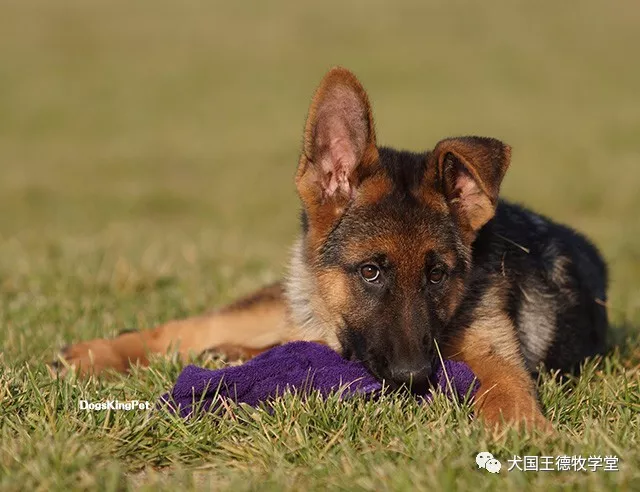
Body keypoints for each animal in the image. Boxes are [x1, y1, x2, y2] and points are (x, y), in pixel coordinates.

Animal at [52, 67, 608, 428]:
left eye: (438, 275)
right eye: (370, 271)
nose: (412, 377)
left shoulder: (495, 352)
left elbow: (508, 391)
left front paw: (524, 435)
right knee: (191, 329)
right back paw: (99, 354)